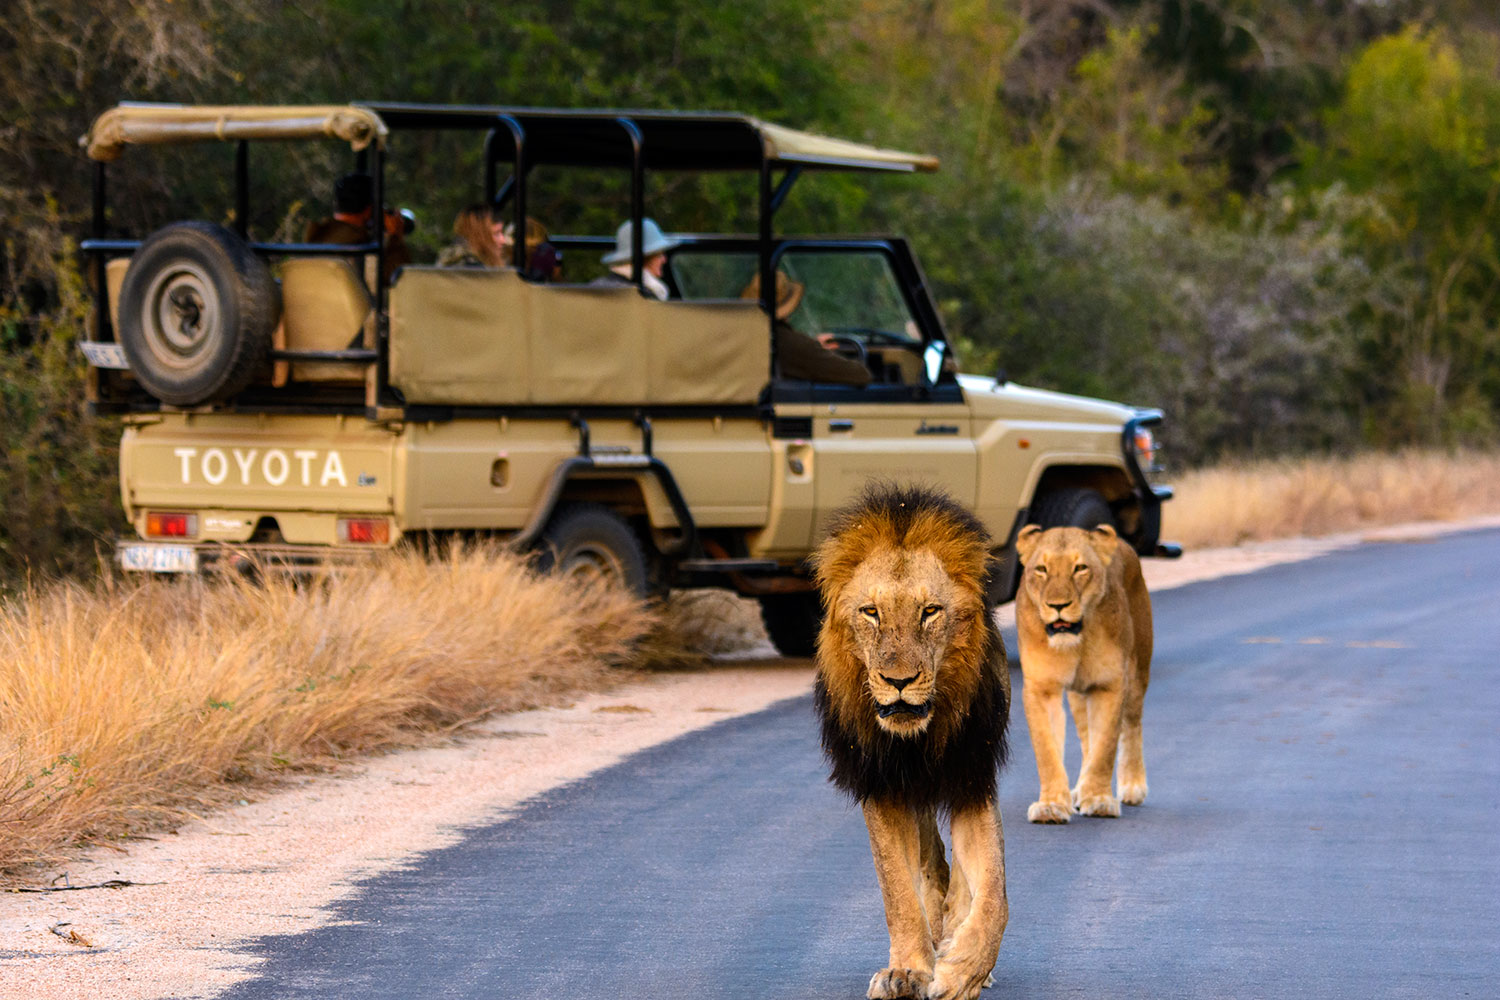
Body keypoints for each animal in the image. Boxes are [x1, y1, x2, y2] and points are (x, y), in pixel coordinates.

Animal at [816, 485, 1014, 1000]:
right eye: (871, 612)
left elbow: (995, 894)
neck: (916, 740)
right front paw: (907, 971)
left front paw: (963, 971)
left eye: (930, 612)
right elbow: (898, 890)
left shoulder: (972, 774)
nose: (899, 681)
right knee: (930, 867)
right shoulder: (881, 783)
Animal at [1014, 521, 1152, 827]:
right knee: (1087, 737)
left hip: (1137, 673)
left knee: (1132, 726)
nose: (1058, 605)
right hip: (1079, 693)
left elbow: (1106, 746)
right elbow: (1047, 751)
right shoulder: (1042, 688)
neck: (1075, 643)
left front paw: (1099, 799)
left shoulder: (1110, 684)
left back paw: (1132, 786)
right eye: (1041, 569)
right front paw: (1052, 805)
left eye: (1080, 568)